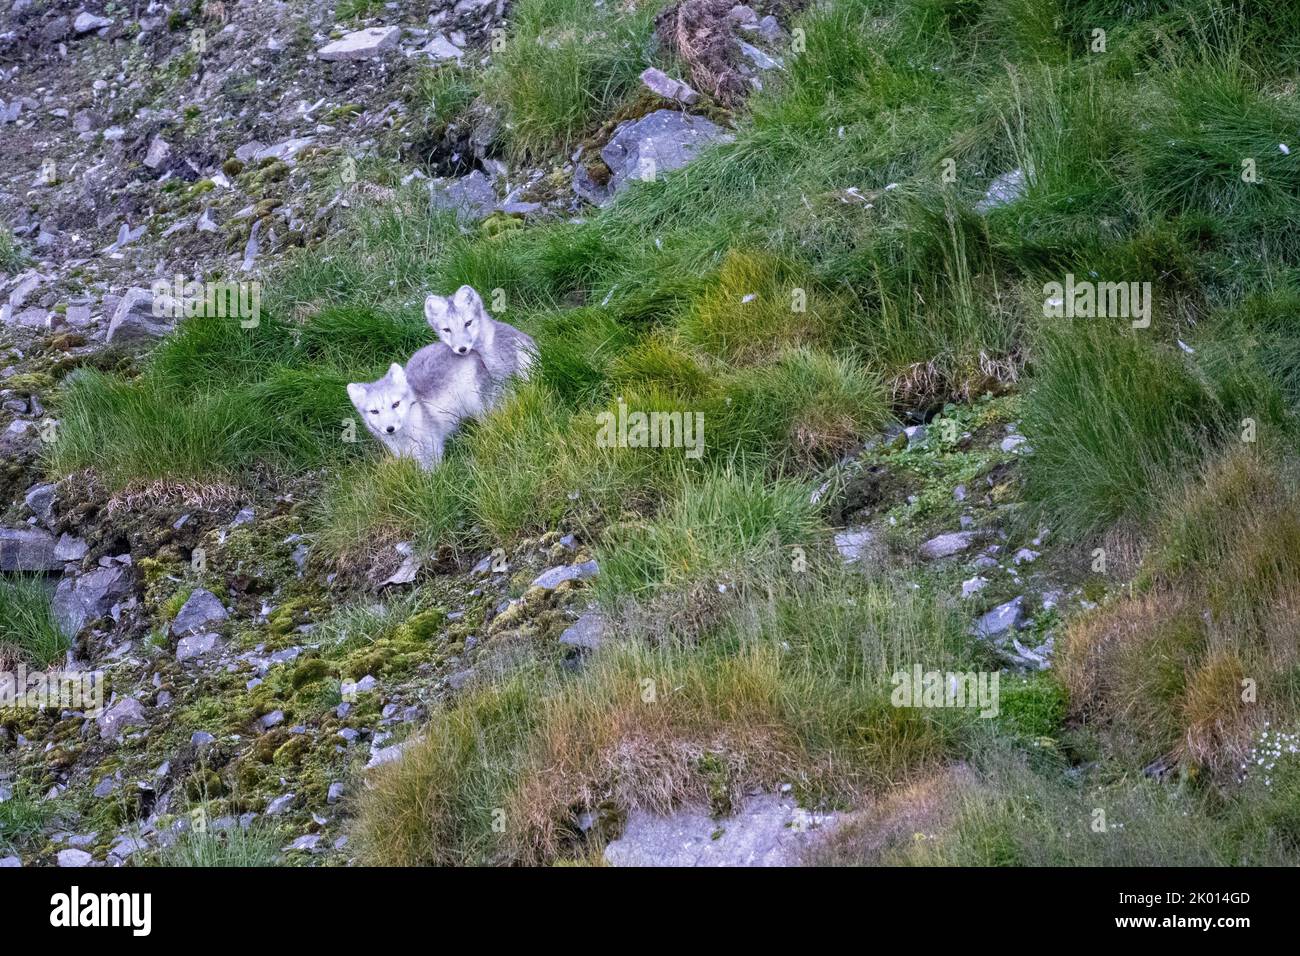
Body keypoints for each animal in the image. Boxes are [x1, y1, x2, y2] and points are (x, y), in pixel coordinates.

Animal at [348, 351, 488, 470]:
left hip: (478, 403)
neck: (403, 439)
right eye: (374, 411)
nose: (390, 429)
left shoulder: (431, 448)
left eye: (396, 404)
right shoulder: (402, 453)